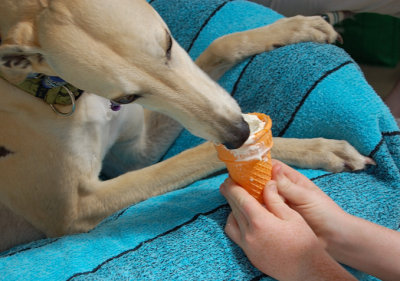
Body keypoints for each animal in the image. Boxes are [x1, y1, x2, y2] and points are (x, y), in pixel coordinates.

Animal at [0, 0, 376, 250]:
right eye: (129, 95)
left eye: (168, 42)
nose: (238, 133)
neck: (46, 88)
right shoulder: (77, 208)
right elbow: (201, 152)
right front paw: (317, 148)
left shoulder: (137, 152)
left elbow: (220, 44)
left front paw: (296, 27)